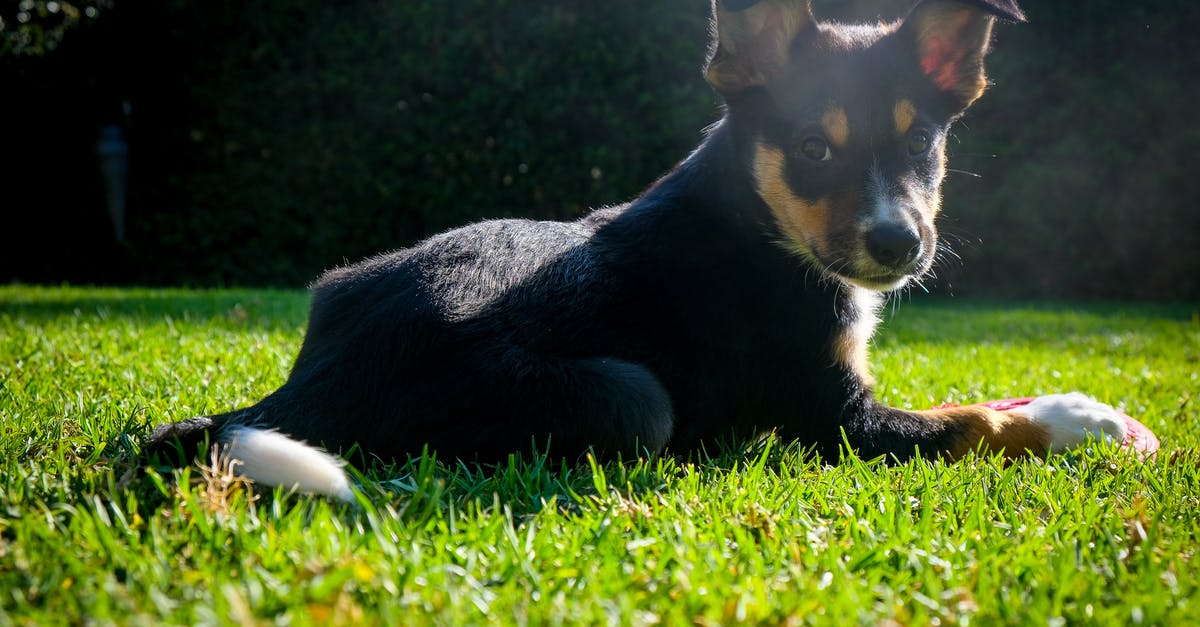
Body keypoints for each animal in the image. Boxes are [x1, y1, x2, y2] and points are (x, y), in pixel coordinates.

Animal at [145, 0, 1128, 497]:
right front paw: (1083, 419)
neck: (757, 218)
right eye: (812, 147)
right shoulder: (838, 419)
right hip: (630, 395)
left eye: (922, 140)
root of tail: (304, 389)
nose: (898, 242)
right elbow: (975, 421)